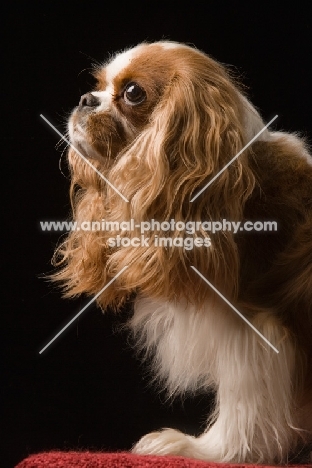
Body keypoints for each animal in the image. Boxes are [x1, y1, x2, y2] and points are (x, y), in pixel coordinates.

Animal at [53, 41, 312, 464]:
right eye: (99, 85)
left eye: (133, 93)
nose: (85, 99)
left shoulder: (256, 324)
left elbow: (246, 400)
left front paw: (207, 448)